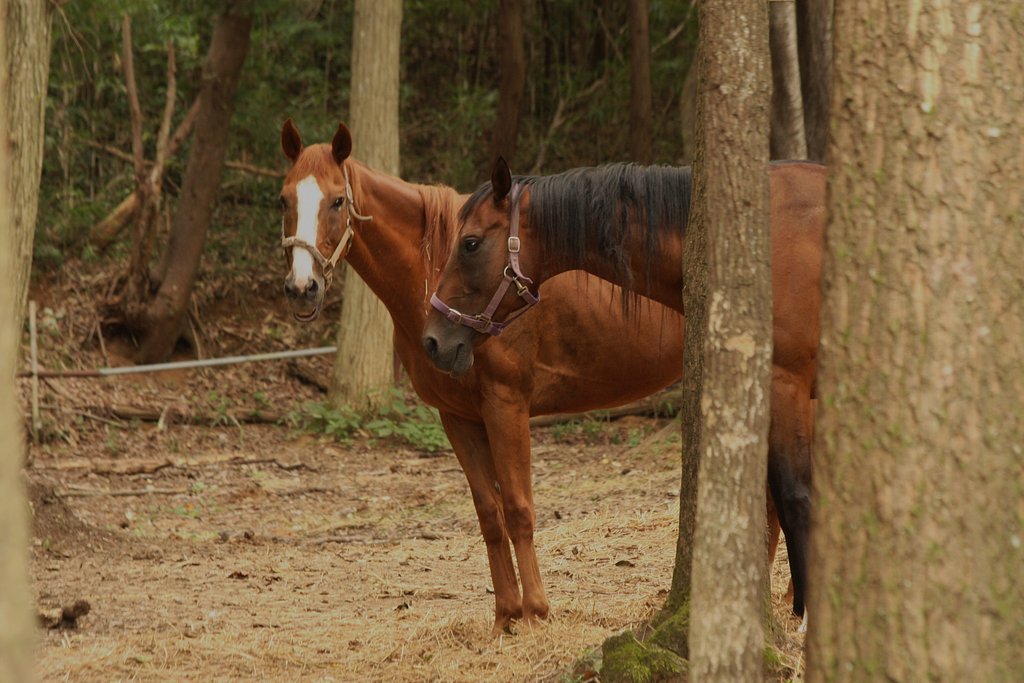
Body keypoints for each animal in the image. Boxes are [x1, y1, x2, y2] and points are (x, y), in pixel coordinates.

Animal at [278, 120, 781, 633]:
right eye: (284, 200)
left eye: (337, 201)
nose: (302, 289)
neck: (434, 270)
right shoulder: (458, 418)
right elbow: (489, 514)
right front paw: (506, 616)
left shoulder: (506, 407)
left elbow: (519, 509)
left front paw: (536, 611)